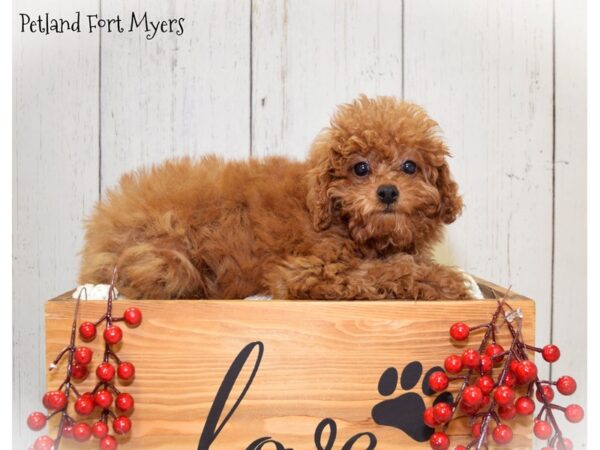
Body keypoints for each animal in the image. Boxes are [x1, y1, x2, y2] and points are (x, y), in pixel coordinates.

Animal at [79, 95, 472, 298]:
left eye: (409, 166)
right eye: (360, 168)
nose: (387, 191)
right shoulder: (308, 271)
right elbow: (386, 271)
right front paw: (447, 281)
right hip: (166, 261)